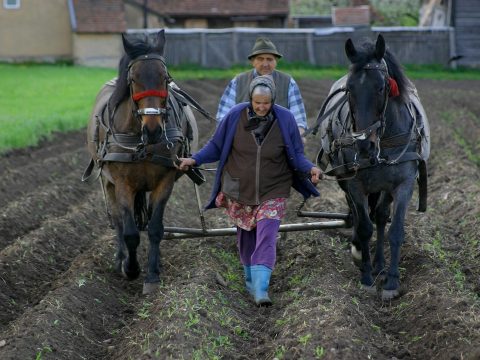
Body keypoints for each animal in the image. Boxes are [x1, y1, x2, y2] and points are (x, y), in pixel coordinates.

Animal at [316, 34, 430, 298]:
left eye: (381, 87)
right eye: (350, 89)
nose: (363, 144)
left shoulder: (403, 184)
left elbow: (395, 230)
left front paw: (391, 282)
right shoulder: (355, 184)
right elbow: (364, 227)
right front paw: (366, 277)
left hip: (385, 186)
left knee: (380, 215)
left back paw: (379, 263)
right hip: (346, 181)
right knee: (360, 217)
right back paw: (361, 253)